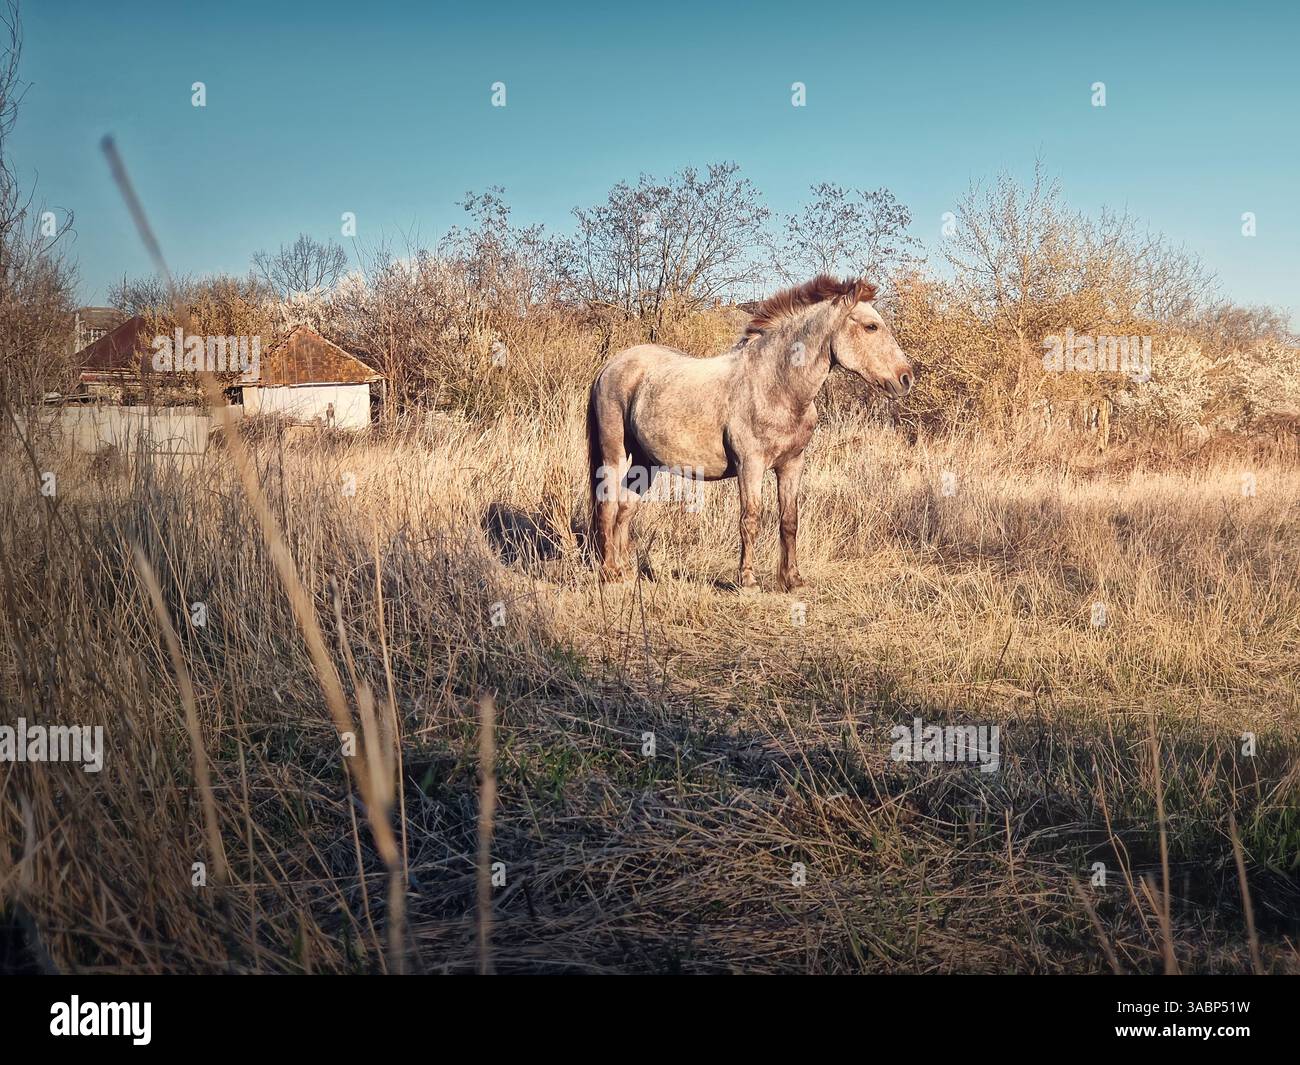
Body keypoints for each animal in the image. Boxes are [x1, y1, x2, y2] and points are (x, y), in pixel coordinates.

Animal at [586, 275, 914, 590]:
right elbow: (750, 519)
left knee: (626, 506)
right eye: (871, 326)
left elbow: (789, 520)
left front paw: (792, 581)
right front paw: (748, 580)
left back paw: (626, 572)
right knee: (608, 504)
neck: (775, 384)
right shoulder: (750, 465)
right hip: (614, 452)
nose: (906, 378)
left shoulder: (792, 465)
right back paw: (609, 573)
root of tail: (609, 366)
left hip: (647, 462)